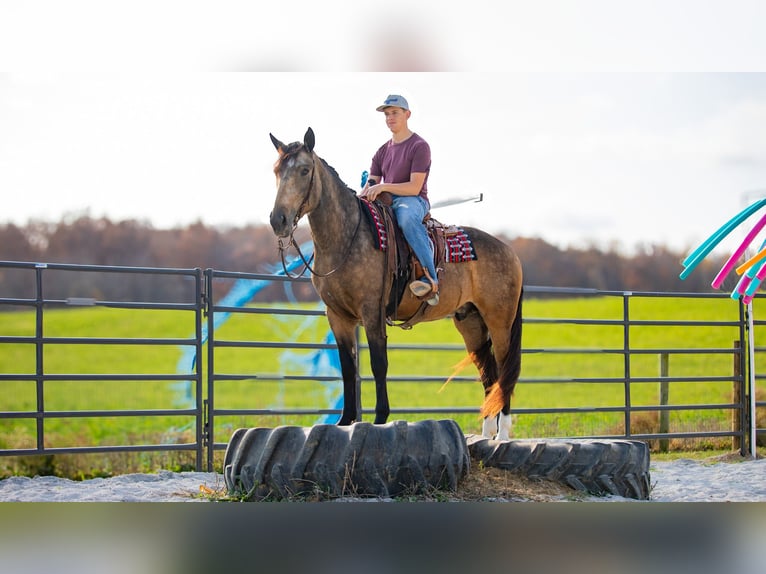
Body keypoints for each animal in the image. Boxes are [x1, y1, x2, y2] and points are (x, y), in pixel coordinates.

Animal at [268, 127, 524, 440]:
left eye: (305, 170)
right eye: (277, 170)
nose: (278, 220)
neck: (347, 237)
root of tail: (509, 251)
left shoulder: (372, 311)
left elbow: (379, 364)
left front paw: (380, 418)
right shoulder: (338, 316)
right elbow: (347, 368)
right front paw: (345, 420)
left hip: (500, 322)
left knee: (504, 370)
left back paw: (502, 435)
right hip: (471, 323)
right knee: (489, 375)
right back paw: (486, 435)